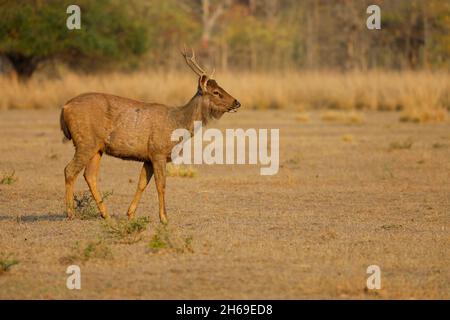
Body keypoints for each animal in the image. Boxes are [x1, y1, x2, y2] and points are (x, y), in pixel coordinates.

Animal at [62, 48, 243, 222]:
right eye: (216, 92)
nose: (237, 102)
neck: (177, 123)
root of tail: (65, 107)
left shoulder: (148, 157)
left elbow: (142, 183)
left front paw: (130, 214)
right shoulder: (158, 152)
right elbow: (161, 184)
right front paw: (164, 218)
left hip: (97, 147)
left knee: (89, 175)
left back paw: (105, 214)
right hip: (85, 141)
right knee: (70, 170)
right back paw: (70, 213)